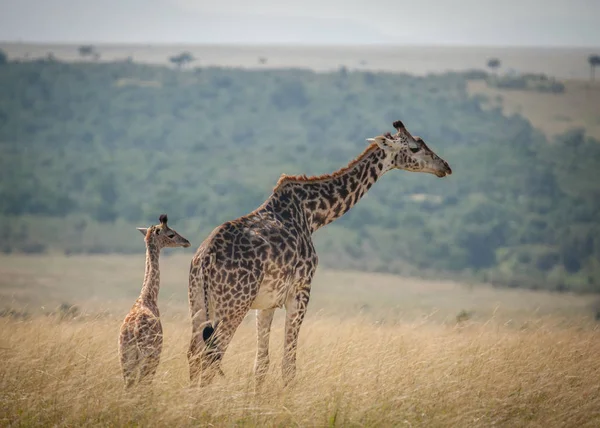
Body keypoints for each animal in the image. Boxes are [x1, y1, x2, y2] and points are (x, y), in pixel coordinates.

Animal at [118, 214, 190, 388]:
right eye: (171, 234)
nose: (186, 242)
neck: (147, 297)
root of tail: (133, 333)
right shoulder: (157, 353)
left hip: (125, 360)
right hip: (148, 358)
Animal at [188, 119, 450, 384]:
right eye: (415, 147)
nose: (445, 167)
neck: (312, 214)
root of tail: (205, 259)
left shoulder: (267, 303)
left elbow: (261, 364)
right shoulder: (300, 290)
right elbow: (288, 365)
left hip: (199, 303)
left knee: (194, 355)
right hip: (233, 305)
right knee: (212, 356)